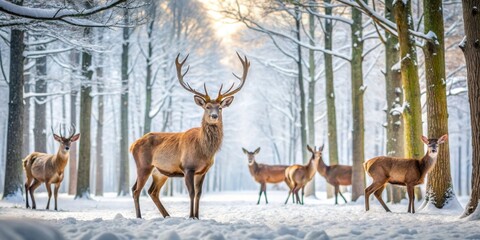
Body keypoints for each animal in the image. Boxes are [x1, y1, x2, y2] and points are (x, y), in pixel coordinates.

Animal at [131, 53, 251, 219]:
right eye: (207, 107)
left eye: (220, 108)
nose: (214, 116)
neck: (204, 151)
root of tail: (132, 145)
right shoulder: (188, 167)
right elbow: (191, 193)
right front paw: (191, 216)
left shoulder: (203, 171)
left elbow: (199, 193)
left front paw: (197, 216)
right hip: (143, 165)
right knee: (136, 190)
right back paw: (139, 216)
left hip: (160, 172)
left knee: (152, 191)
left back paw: (167, 215)